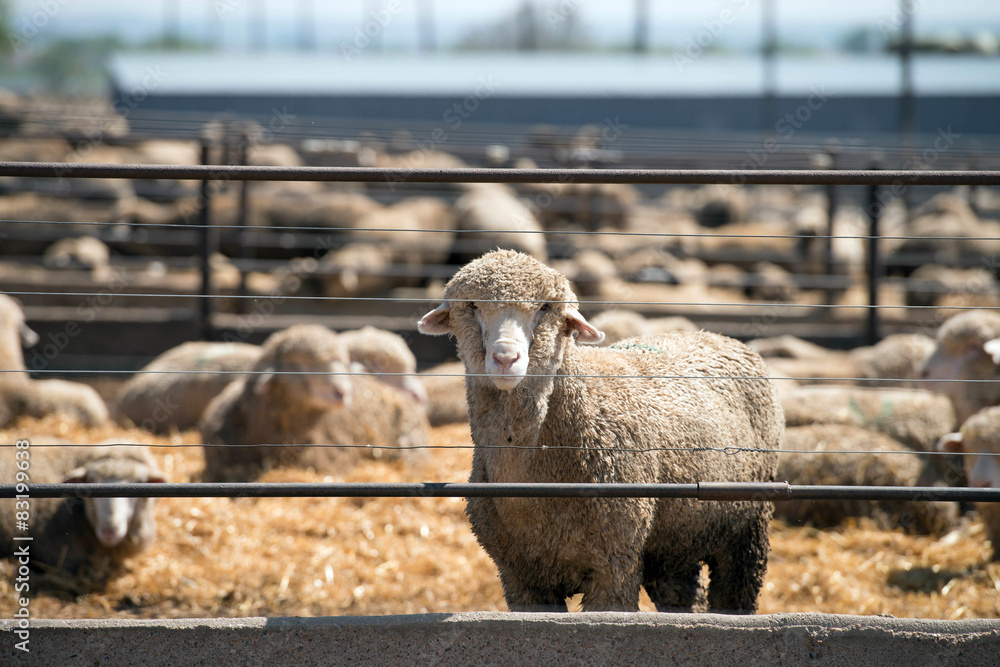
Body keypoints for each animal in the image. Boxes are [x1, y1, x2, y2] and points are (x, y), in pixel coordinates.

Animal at [418, 249, 783, 613]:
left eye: (545, 308)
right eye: (473, 306)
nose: (506, 358)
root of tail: (716, 335)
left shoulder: (615, 565)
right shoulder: (521, 581)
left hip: (750, 526)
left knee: (735, 592)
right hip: (677, 541)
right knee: (684, 594)